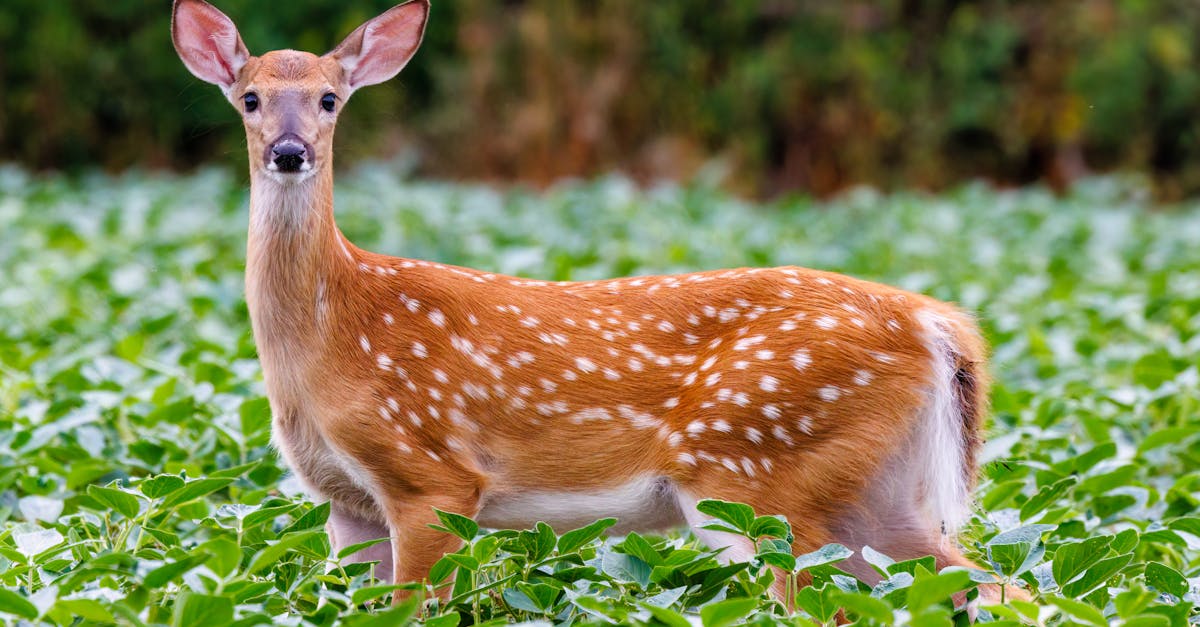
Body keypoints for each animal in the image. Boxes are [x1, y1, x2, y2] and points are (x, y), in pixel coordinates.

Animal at [171, 0, 998, 606]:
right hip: (869, 495)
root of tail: (940, 326)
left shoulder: (430, 473)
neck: (331, 337)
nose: (290, 151)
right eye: (250, 98)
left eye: (329, 99)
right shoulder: (345, 502)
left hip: (760, 471)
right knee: (981, 584)